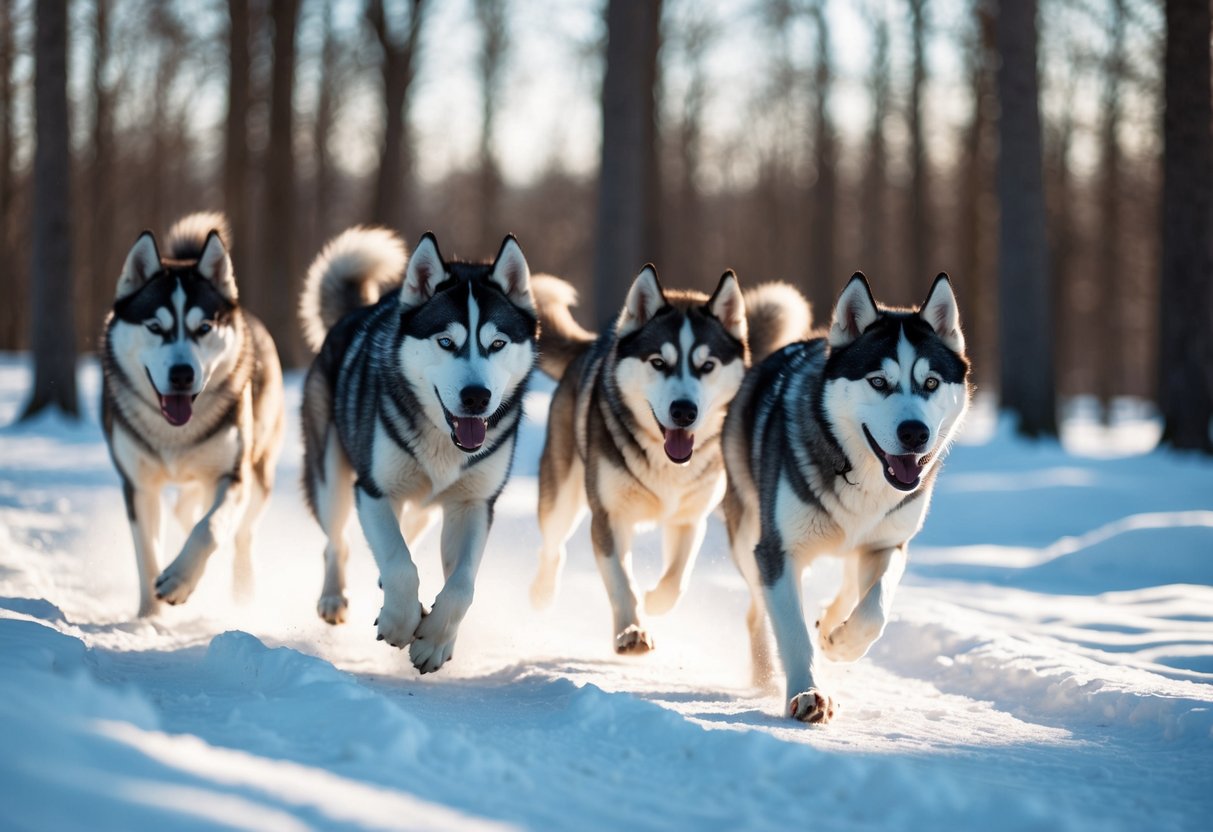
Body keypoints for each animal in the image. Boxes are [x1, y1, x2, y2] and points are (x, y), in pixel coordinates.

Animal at [101, 212, 284, 617]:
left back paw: (240, 589)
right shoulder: (138, 486)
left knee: (240, 533)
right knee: (186, 510)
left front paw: (179, 580)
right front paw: (148, 619)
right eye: (155, 327)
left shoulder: (232, 475)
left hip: (259, 471)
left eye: (204, 328)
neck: (175, 435)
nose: (182, 374)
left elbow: (210, 528)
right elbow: (147, 554)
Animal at [299, 228, 537, 674]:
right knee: (337, 541)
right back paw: (333, 597)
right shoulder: (373, 491)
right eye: (446, 342)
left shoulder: (473, 504)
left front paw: (435, 642)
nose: (477, 397)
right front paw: (399, 622)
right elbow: (399, 563)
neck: (444, 441)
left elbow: (461, 586)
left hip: (425, 506)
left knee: (408, 528)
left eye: (497, 343)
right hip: (332, 481)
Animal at [530, 266, 811, 653]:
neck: (666, 465)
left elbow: (677, 579)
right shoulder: (610, 517)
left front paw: (654, 602)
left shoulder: (690, 517)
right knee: (553, 545)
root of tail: (597, 344)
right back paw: (542, 593)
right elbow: (622, 582)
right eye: (659, 363)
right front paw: (631, 630)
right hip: (562, 497)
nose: (684, 411)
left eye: (707, 365)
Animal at [721, 272, 971, 723]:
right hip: (748, 538)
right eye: (878, 382)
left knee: (851, 583)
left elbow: (874, 609)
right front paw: (807, 693)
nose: (915, 433)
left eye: (930, 383)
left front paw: (841, 642)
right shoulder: (777, 551)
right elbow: (793, 630)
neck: (863, 476)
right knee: (756, 611)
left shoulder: (888, 544)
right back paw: (765, 673)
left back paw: (831, 625)